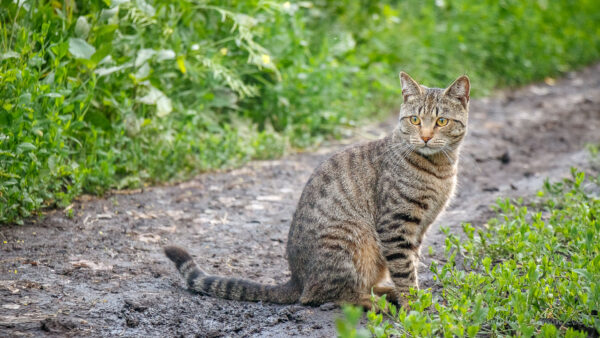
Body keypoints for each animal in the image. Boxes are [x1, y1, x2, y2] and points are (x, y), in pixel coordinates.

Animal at [164, 72, 468, 308]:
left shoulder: (418, 229)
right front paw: (413, 307)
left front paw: (417, 299)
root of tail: (297, 279)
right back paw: (376, 302)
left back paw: (384, 292)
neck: (441, 168)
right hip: (349, 240)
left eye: (441, 121)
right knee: (325, 295)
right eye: (415, 120)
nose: (425, 137)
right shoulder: (396, 224)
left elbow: (410, 264)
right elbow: (405, 271)